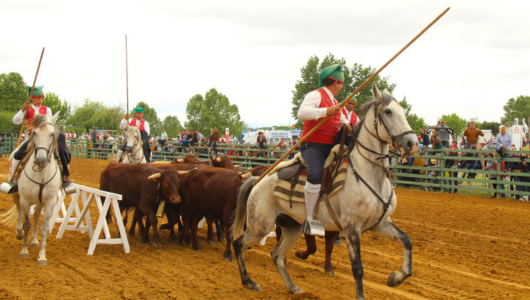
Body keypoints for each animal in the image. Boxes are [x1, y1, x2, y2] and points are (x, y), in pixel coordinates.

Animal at [1, 112, 61, 264]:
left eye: (52, 134)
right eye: (34, 133)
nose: (41, 160)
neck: (41, 174)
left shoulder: (50, 202)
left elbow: (44, 228)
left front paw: (42, 256)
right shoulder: (25, 200)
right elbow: (26, 224)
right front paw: (24, 250)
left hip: (40, 202)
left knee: (36, 215)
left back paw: (34, 240)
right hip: (17, 197)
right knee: (19, 212)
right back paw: (19, 233)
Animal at [231, 84, 416, 300]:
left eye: (403, 110)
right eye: (388, 111)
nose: (412, 143)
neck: (367, 173)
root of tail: (257, 182)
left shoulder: (380, 223)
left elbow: (406, 240)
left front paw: (395, 277)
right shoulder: (352, 228)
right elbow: (358, 269)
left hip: (292, 227)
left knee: (276, 255)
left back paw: (293, 287)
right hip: (260, 226)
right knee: (239, 244)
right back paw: (249, 282)